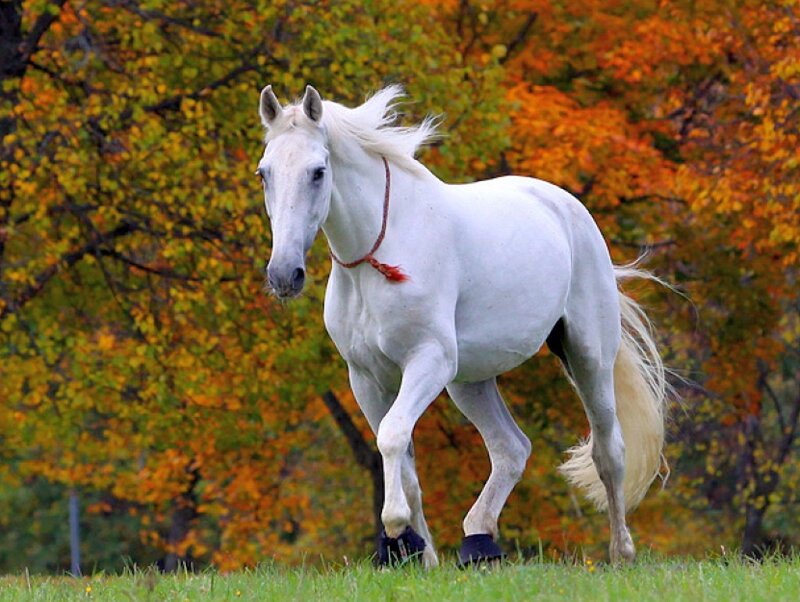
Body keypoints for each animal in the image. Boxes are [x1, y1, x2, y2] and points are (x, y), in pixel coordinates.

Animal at [255, 84, 668, 567]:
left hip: (587, 358)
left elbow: (392, 435)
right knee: (511, 449)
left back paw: (621, 552)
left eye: (318, 172)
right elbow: (404, 462)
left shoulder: (429, 361)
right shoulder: (366, 378)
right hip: (470, 381)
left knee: (609, 450)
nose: (284, 275)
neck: (379, 255)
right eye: (264, 173)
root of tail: (568, 208)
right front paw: (419, 554)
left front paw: (395, 527)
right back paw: (478, 543)